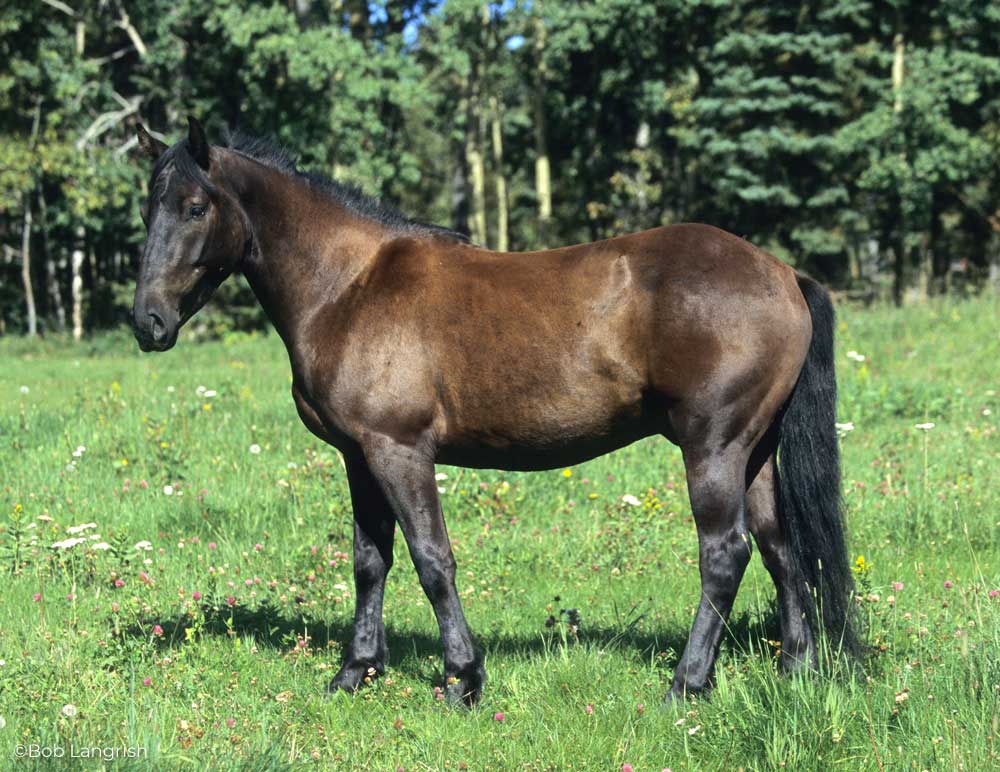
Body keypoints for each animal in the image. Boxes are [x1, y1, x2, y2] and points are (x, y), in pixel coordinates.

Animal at [131, 116, 860, 704]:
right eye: (147, 211)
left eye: (193, 207)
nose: (147, 322)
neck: (349, 286)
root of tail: (783, 274)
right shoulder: (359, 457)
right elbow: (371, 561)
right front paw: (355, 673)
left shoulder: (399, 450)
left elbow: (431, 558)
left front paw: (462, 678)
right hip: (754, 452)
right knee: (780, 547)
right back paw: (797, 671)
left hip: (713, 447)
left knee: (725, 554)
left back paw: (687, 683)